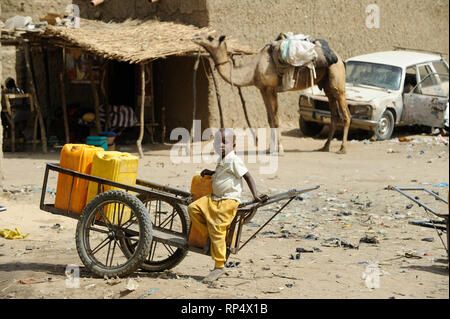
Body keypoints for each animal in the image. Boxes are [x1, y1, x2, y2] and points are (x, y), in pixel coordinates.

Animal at [192, 33, 350, 155]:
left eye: (210, 37)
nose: (195, 37)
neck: (253, 70)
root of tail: (340, 59)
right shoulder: (263, 89)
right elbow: (270, 119)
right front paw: (269, 149)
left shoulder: (271, 89)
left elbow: (276, 119)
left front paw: (279, 149)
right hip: (327, 85)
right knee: (334, 114)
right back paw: (325, 147)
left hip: (338, 80)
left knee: (346, 114)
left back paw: (342, 149)